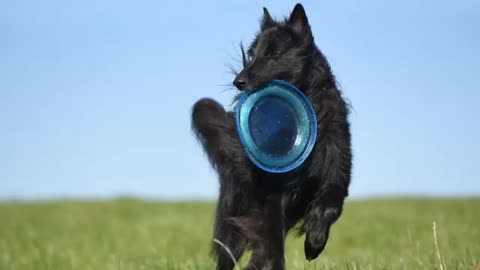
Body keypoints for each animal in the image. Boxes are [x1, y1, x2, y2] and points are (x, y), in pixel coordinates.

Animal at [192, 4, 352, 270]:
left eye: (273, 54)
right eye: (252, 55)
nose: (238, 82)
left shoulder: (335, 176)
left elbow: (329, 208)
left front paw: (315, 241)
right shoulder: (273, 195)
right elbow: (273, 242)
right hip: (234, 219)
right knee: (230, 254)